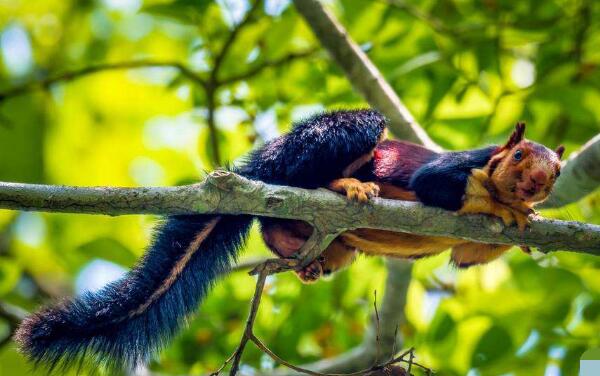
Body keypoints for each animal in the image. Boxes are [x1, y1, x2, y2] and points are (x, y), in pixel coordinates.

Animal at [15, 108, 568, 370]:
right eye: (520, 155)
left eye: (558, 171)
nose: (538, 183)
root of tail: (260, 166)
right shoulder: (458, 166)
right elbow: (442, 185)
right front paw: (503, 205)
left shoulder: (468, 247)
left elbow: (469, 254)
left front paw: (526, 217)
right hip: (325, 143)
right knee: (306, 173)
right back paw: (343, 185)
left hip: (328, 244)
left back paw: (308, 260)